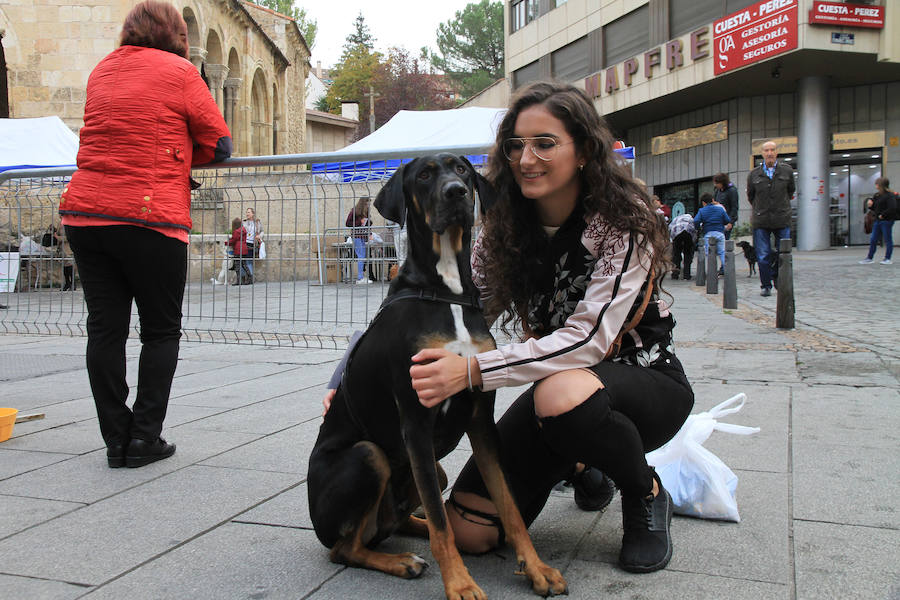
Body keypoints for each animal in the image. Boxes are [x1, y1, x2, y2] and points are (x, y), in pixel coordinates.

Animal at [306, 155, 568, 600]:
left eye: (462, 170)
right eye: (425, 175)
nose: (456, 193)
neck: (447, 292)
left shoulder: (480, 419)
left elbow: (508, 506)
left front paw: (535, 568)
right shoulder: (416, 421)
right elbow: (444, 529)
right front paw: (461, 585)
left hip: (428, 469)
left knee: (401, 520)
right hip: (369, 456)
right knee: (345, 548)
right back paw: (400, 561)